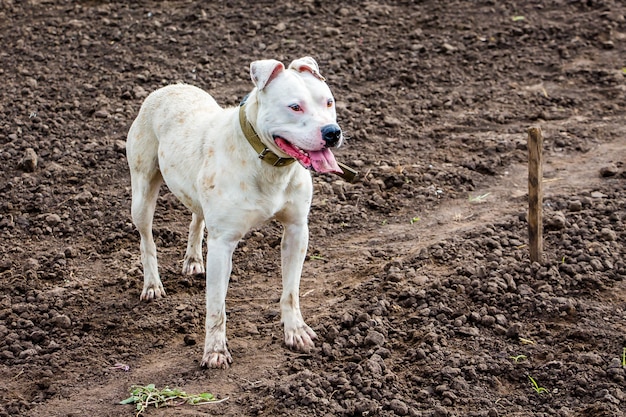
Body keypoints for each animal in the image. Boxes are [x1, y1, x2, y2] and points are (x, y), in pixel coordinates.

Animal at [124, 56, 344, 368]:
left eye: (328, 102)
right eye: (295, 107)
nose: (332, 132)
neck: (269, 163)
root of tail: (169, 88)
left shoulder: (297, 230)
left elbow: (291, 291)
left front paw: (295, 331)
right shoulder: (223, 244)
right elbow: (216, 305)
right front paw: (215, 351)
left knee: (196, 217)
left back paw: (193, 260)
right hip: (142, 193)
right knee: (147, 240)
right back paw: (152, 284)